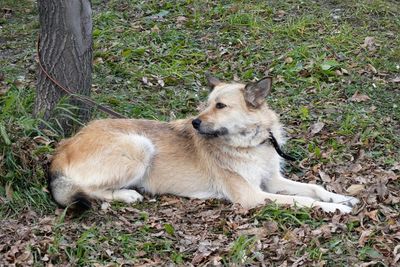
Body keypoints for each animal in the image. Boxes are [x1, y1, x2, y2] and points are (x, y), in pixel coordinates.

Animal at [49, 75, 360, 214]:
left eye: (220, 106)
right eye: (206, 104)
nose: (195, 123)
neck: (249, 143)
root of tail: (63, 146)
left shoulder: (271, 181)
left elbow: (313, 188)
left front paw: (340, 198)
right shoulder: (253, 195)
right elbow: (302, 200)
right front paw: (334, 209)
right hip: (140, 146)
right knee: (86, 190)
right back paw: (126, 195)